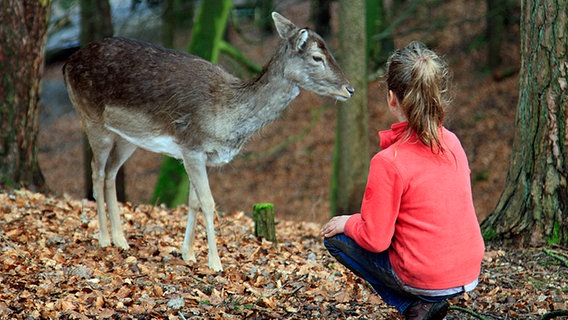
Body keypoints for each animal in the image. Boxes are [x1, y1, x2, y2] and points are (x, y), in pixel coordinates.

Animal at [64, 11, 352, 272]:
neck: (226, 119)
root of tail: (69, 63)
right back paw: (103, 238)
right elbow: (209, 202)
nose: (349, 88)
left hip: (128, 137)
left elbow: (193, 201)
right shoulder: (191, 146)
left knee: (111, 172)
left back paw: (120, 240)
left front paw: (188, 254)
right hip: (92, 119)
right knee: (97, 171)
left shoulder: (199, 155)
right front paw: (215, 263)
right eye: (317, 57)